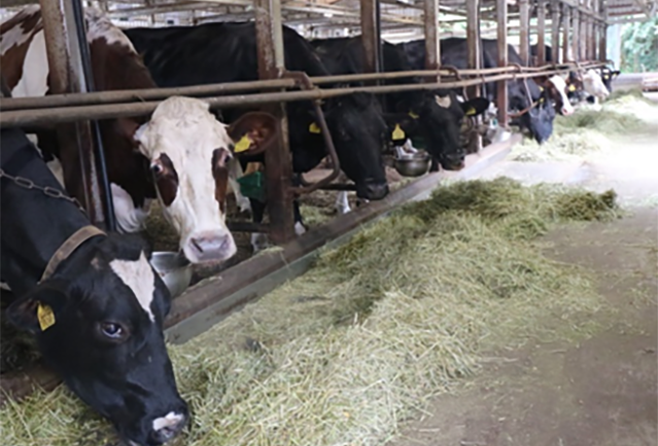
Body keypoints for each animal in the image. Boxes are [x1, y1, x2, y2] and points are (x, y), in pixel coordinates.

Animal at [124, 22, 390, 250]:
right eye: (343, 133)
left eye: (382, 131)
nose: (378, 189)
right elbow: (257, 194)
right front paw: (259, 240)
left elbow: (290, 183)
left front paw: (297, 224)